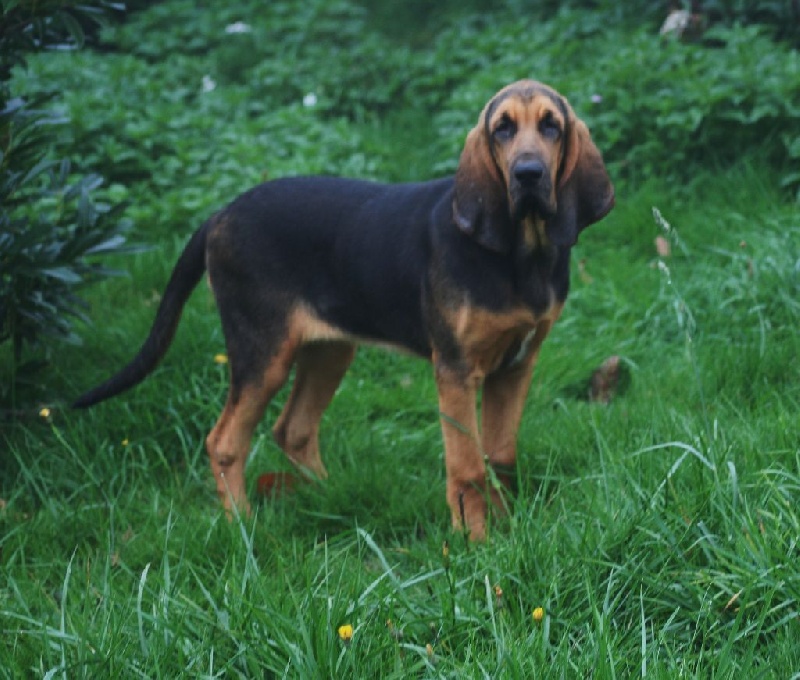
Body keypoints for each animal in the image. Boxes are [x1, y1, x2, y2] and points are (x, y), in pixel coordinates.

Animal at [73, 77, 612, 540]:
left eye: (551, 126)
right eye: (502, 128)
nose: (528, 174)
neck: (523, 253)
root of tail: (219, 215)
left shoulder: (517, 364)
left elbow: (499, 456)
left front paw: (504, 529)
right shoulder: (456, 370)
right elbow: (467, 466)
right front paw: (474, 543)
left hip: (330, 351)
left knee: (292, 430)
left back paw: (329, 498)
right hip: (262, 353)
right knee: (223, 442)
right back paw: (244, 527)